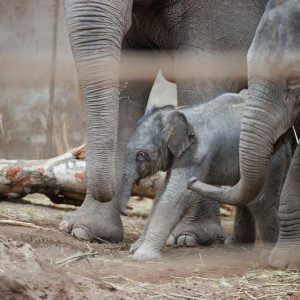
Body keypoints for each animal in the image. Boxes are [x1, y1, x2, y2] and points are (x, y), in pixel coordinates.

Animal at [118, 92, 292, 262]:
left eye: (141, 155)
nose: (128, 210)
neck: (182, 113)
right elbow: (162, 194)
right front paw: (134, 248)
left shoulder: (196, 155)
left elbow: (177, 195)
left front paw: (142, 256)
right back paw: (236, 246)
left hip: (270, 159)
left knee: (261, 200)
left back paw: (267, 253)